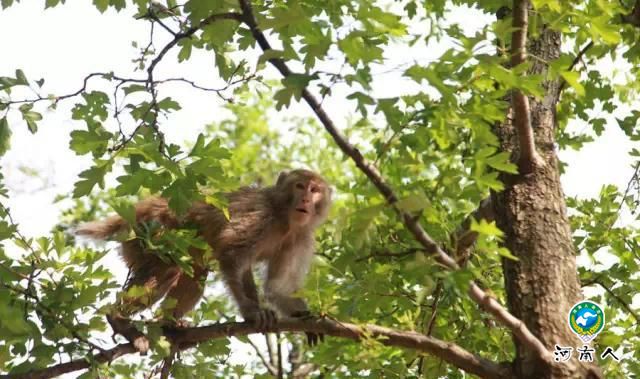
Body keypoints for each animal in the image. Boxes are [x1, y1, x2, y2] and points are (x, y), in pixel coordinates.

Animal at [77, 169, 332, 354]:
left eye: (314, 189)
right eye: (299, 186)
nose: (306, 199)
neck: (283, 217)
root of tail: (141, 206)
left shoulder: (300, 238)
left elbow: (278, 287)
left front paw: (304, 316)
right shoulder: (261, 216)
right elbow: (230, 254)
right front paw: (250, 311)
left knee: (194, 274)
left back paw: (168, 325)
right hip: (151, 231)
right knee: (166, 270)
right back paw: (119, 320)